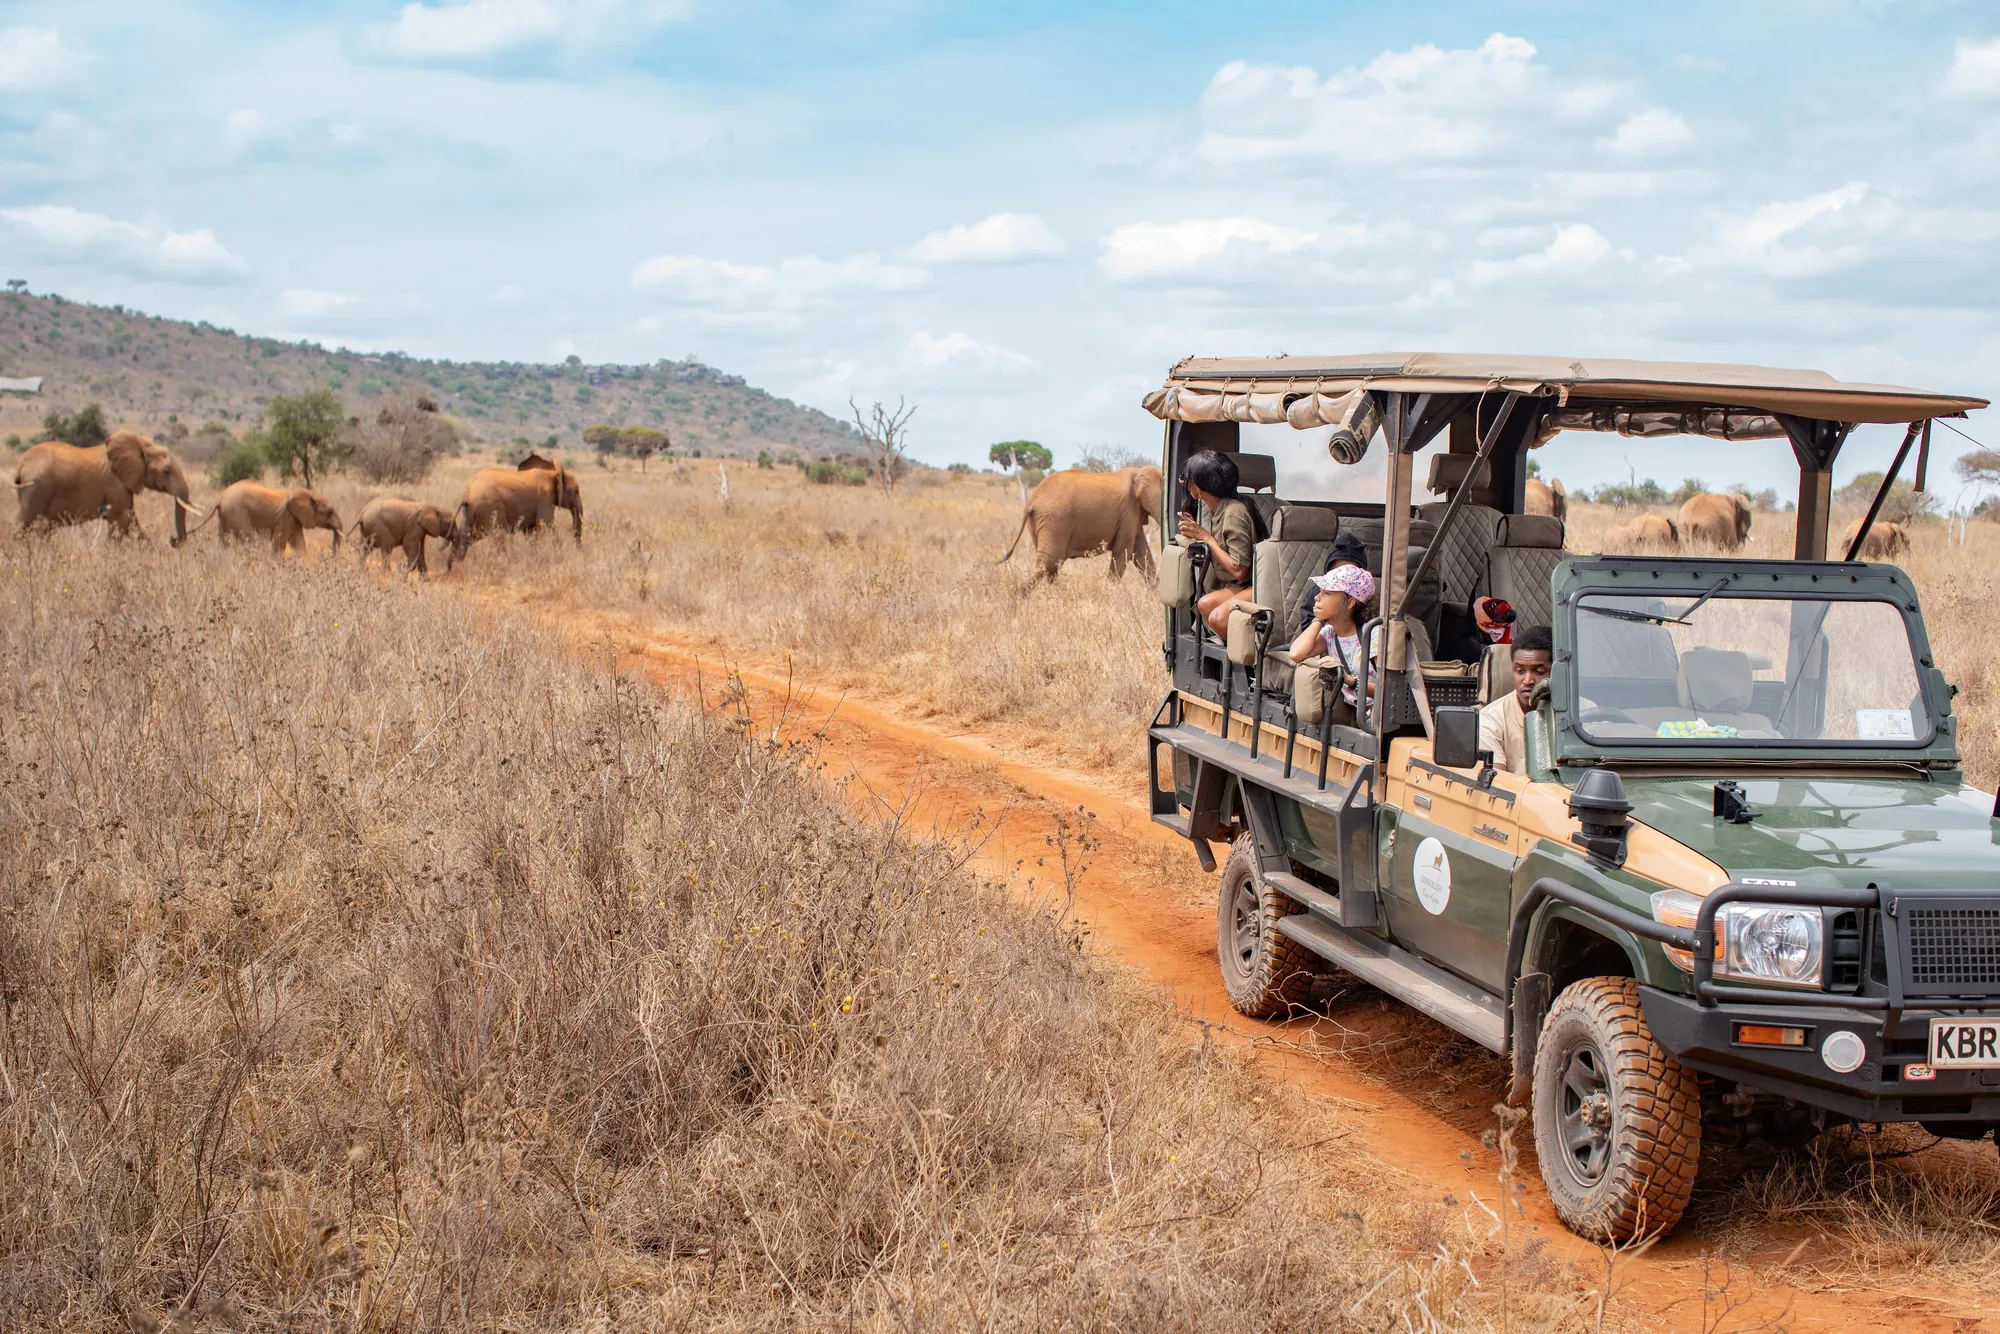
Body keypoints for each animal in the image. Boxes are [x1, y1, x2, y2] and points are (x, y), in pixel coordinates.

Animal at [14, 430, 195, 543]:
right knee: (23, 525)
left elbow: (129, 521)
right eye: (166, 471)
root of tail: (21, 464)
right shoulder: (116, 484)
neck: (142, 444)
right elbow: (123, 521)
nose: (173, 540)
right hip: (35, 490)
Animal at [194, 482, 344, 553]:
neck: (310, 494)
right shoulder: (285, 517)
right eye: (329, 512)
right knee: (249, 539)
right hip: (237, 513)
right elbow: (279, 544)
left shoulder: (294, 520)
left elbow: (299, 543)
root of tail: (220, 499)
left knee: (223, 541)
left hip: (224, 517)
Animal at [447, 454, 583, 569]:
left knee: (466, 537)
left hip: (472, 512)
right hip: (490, 507)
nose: (579, 549)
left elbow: (531, 532)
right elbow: (546, 525)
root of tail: (467, 493)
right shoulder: (545, 500)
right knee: (498, 535)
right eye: (575, 491)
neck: (552, 473)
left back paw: (455, 567)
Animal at [999, 465, 1163, 583]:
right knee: (1049, 563)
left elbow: (1142, 554)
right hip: (1055, 520)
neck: (1141, 471)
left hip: (1041, 522)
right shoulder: (1129, 511)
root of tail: (1032, 500)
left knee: (1051, 565)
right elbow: (1123, 552)